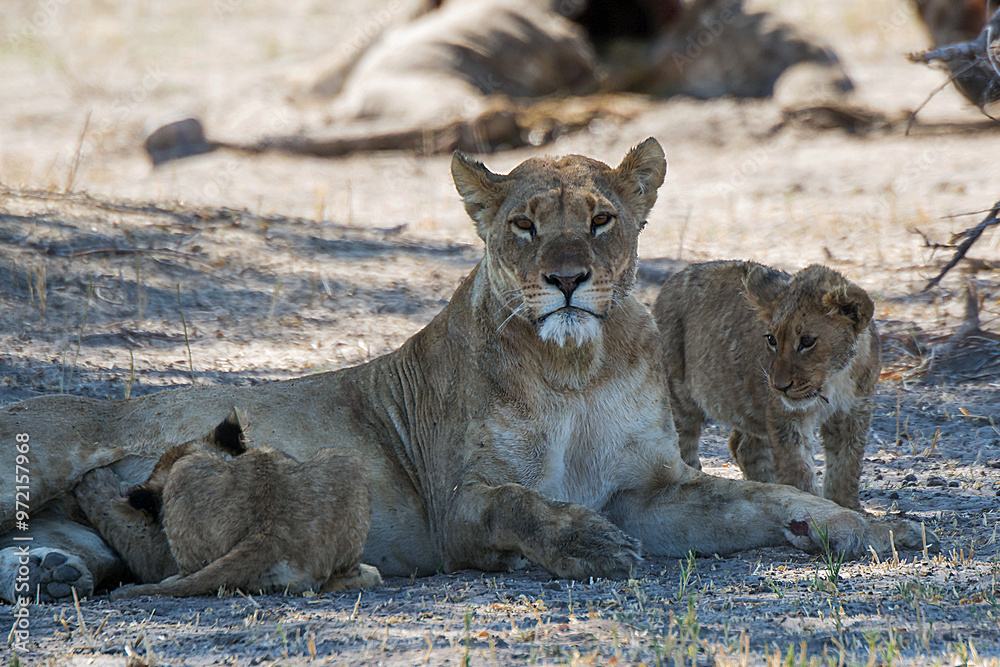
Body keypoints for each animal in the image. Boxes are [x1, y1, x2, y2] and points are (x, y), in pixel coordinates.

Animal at [653, 261, 882, 511]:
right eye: (772, 340)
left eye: (807, 341)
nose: (779, 387)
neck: (835, 377)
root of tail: (673, 280)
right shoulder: (785, 414)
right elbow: (797, 467)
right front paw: (809, 504)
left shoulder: (853, 412)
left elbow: (846, 466)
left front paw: (847, 506)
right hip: (678, 393)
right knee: (682, 447)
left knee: (744, 447)